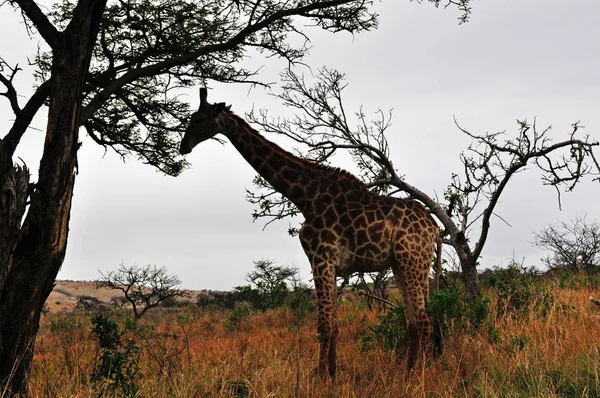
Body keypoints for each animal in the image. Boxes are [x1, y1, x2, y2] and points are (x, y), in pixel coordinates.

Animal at [180, 88, 438, 378]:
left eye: (199, 118)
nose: (183, 146)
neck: (304, 196)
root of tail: (434, 226)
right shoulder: (329, 264)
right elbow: (333, 325)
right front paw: (333, 375)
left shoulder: (321, 258)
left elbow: (323, 325)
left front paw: (321, 377)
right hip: (403, 264)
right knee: (413, 321)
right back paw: (407, 373)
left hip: (413, 261)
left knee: (424, 320)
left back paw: (420, 376)